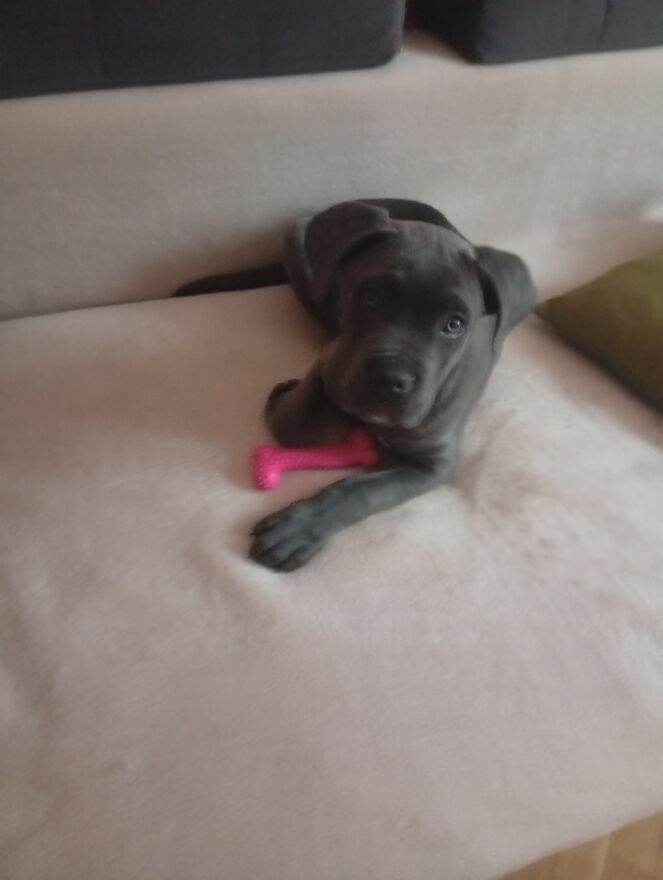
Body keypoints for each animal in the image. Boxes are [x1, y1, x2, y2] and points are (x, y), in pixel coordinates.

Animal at [175, 199, 537, 571]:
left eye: (454, 324)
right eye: (372, 297)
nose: (391, 380)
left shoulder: (434, 463)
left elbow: (360, 492)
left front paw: (298, 529)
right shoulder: (334, 359)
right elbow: (295, 423)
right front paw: (289, 397)